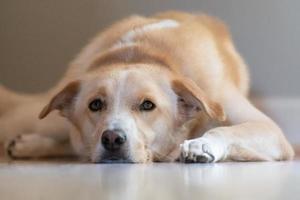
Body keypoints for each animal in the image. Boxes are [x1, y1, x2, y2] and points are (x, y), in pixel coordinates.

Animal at [0, 10, 296, 162]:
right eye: (95, 104)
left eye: (147, 105)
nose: (112, 139)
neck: (143, 53)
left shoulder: (270, 130)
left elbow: (226, 131)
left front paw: (202, 145)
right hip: (42, 119)